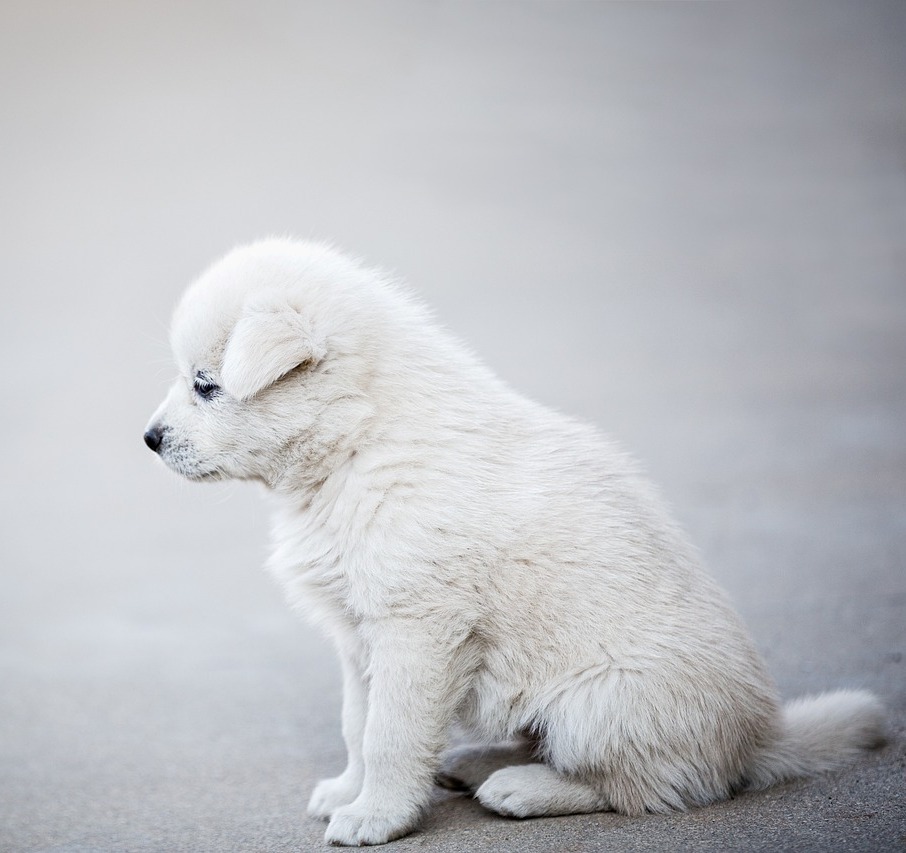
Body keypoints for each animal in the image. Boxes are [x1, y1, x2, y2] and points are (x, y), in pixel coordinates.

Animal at [147, 240, 884, 844]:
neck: (359, 441)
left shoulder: (416, 628)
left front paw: (376, 816)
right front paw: (347, 791)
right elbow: (358, 723)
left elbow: (390, 733)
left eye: (206, 385)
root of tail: (758, 741)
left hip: (600, 701)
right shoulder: (359, 635)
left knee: (647, 788)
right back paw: (476, 762)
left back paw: (522, 788)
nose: (149, 439)